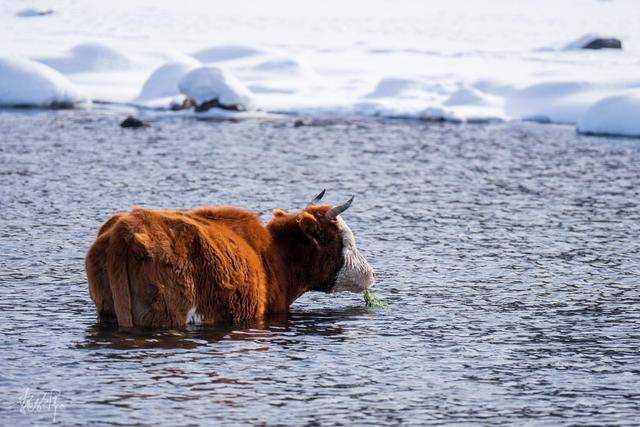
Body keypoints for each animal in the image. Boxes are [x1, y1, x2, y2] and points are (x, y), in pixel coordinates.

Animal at [85, 192, 376, 330]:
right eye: (345, 241)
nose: (371, 273)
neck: (275, 257)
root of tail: (126, 228)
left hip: (107, 309)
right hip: (166, 313)